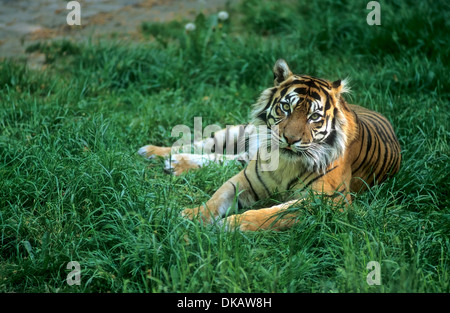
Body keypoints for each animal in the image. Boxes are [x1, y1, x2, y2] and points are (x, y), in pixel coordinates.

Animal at [139, 59, 402, 229]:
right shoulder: (245, 179)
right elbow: (216, 198)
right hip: (239, 132)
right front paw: (193, 216)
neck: (286, 163)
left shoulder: (331, 201)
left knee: (224, 159)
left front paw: (232, 225)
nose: (291, 139)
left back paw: (173, 163)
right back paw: (154, 152)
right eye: (286, 107)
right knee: (205, 145)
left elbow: (274, 214)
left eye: (314, 117)